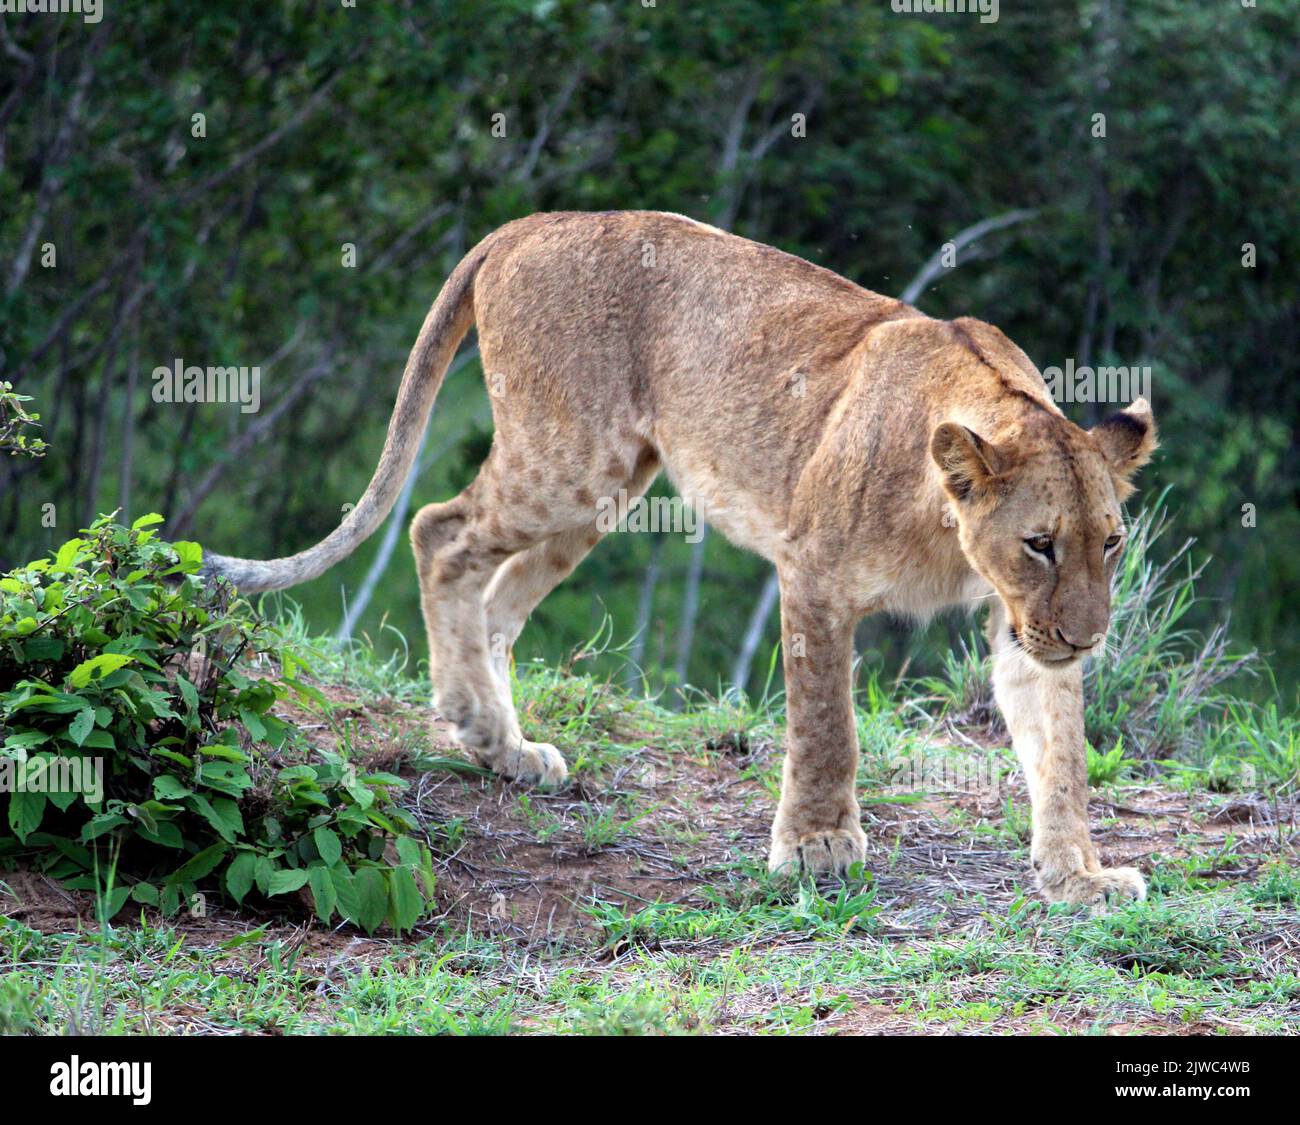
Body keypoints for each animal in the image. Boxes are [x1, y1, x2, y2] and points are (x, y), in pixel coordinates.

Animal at [208, 210, 1164, 910]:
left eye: (1110, 542)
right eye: (1039, 543)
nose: (1087, 639)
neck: (948, 517)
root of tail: (527, 224)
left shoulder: (1020, 627)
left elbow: (1061, 753)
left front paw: (1079, 875)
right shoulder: (814, 573)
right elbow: (828, 726)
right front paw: (817, 845)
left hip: (606, 487)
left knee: (498, 595)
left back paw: (502, 747)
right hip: (568, 462)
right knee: (440, 531)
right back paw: (476, 721)